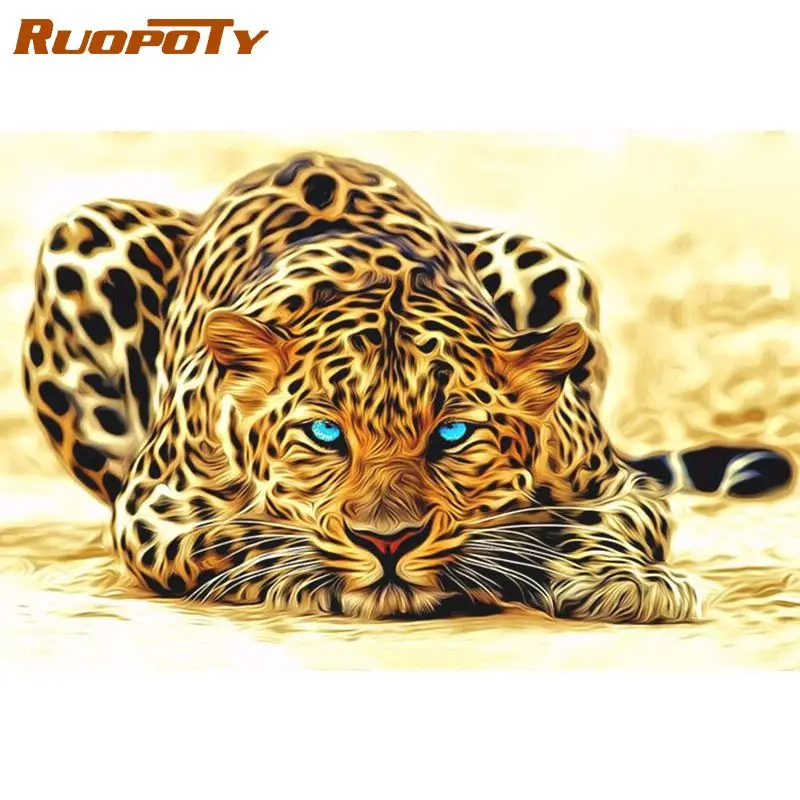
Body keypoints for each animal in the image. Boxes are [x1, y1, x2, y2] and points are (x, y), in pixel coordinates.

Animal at [21, 151, 795, 622]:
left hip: (548, 261)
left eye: (452, 433)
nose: (386, 543)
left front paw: (621, 581)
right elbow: (240, 536)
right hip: (82, 234)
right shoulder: (154, 508)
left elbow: (590, 523)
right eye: (325, 433)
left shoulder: (617, 485)